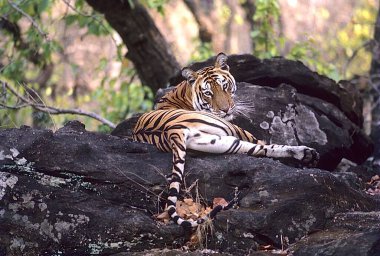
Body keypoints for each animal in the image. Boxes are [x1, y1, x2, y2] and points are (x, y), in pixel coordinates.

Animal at [132, 53, 320, 229]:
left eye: (225, 86)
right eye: (208, 93)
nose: (226, 109)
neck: (183, 91)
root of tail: (173, 130)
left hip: (227, 143)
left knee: (263, 150)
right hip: (235, 133)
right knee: (266, 146)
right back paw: (307, 154)